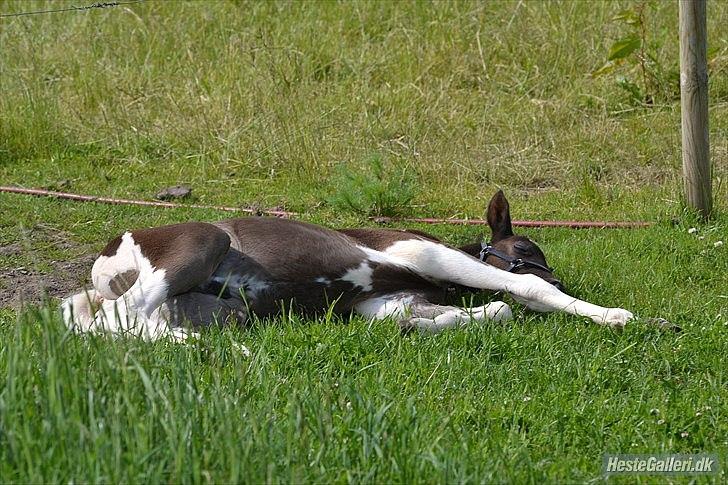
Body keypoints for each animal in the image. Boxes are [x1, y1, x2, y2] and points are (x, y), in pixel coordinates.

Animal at [61, 191, 632, 342]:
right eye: (527, 250)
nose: (560, 276)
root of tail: (102, 264)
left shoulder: (379, 300)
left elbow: (482, 312)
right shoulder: (420, 252)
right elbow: (525, 295)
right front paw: (616, 316)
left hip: (220, 309)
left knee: (124, 323)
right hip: (203, 241)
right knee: (119, 317)